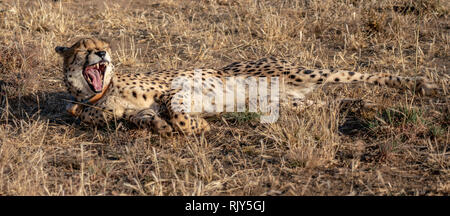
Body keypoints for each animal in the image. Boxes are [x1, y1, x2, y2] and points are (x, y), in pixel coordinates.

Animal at [53, 37, 440, 135]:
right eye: (83, 47)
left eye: (101, 44)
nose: (102, 52)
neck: (100, 93)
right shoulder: (128, 113)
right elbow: (144, 119)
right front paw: (159, 125)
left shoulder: (175, 89)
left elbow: (176, 112)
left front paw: (197, 125)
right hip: (287, 104)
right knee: (332, 104)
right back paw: (367, 107)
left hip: (301, 73)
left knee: (357, 75)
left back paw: (424, 85)